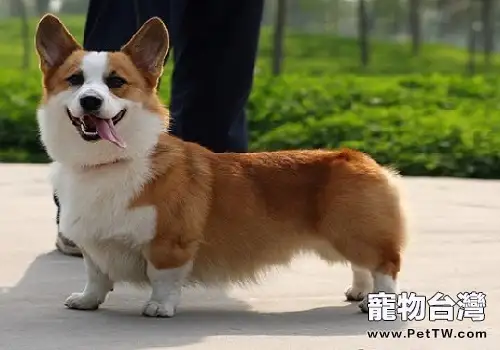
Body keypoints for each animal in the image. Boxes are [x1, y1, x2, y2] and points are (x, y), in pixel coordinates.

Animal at [35, 14, 408, 318]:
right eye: (75, 80)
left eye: (116, 82)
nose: (90, 101)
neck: (106, 163)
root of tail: (360, 157)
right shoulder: (93, 248)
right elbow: (96, 276)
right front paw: (86, 301)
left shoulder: (171, 242)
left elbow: (163, 278)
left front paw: (159, 307)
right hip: (340, 238)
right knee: (361, 266)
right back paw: (360, 292)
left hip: (353, 232)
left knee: (384, 265)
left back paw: (376, 302)